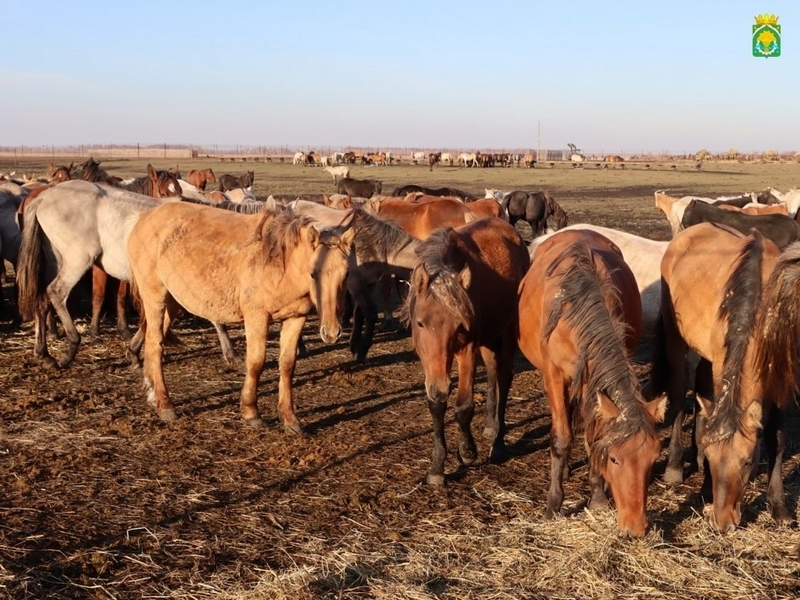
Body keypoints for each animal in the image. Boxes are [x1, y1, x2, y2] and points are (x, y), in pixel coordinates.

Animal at [127, 205, 354, 432]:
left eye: (346, 275)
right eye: (313, 273)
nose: (331, 332)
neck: (280, 263)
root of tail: (144, 217)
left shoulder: (296, 318)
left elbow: (288, 365)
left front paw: (290, 419)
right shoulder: (257, 317)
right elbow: (255, 363)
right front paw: (251, 412)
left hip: (172, 302)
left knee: (151, 341)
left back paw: (153, 395)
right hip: (155, 296)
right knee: (155, 345)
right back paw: (166, 405)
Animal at [400, 218, 532, 486]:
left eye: (459, 325)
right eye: (420, 323)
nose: (440, 386)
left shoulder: (468, 350)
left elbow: (463, 407)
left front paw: (467, 451)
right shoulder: (429, 361)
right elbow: (436, 404)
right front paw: (437, 467)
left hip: (507, 333)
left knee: (504, 377)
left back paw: (498, 443)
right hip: (489, 338)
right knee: (492, 373)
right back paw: (491, 426)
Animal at [516, 231, 664, 540]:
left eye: (653, 459)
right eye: (615, 459)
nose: (636, 528)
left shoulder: (591, 380)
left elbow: (592, 434)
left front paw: (597, 497)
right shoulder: (555, 375)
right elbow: (561, 437)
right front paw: (553, 505)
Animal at [648, 223, 800, 532]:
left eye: (747, 462)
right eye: (714, 460)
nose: (723, 522)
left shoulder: (780, 378)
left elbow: (777, 439)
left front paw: (779, 507)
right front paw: (705, 484)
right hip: (676, 340)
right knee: (679, 393)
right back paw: (675, 465)